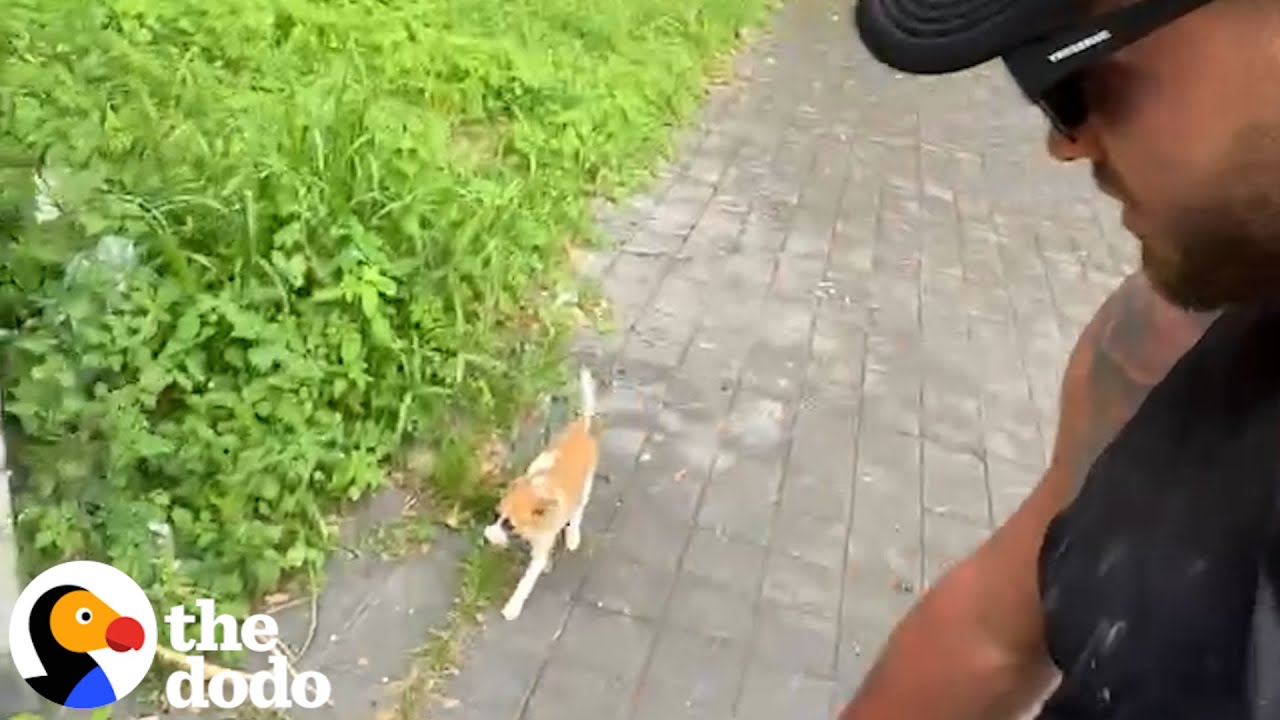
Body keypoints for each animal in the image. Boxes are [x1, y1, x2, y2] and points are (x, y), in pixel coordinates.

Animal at [483, 366, 599, 620]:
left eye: (510, 525)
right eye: (496, 515)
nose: (488, 536)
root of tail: (583, 427)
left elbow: (527, 579)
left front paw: (513, 606)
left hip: (586, 486)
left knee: (578, 511)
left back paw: (573, 535)